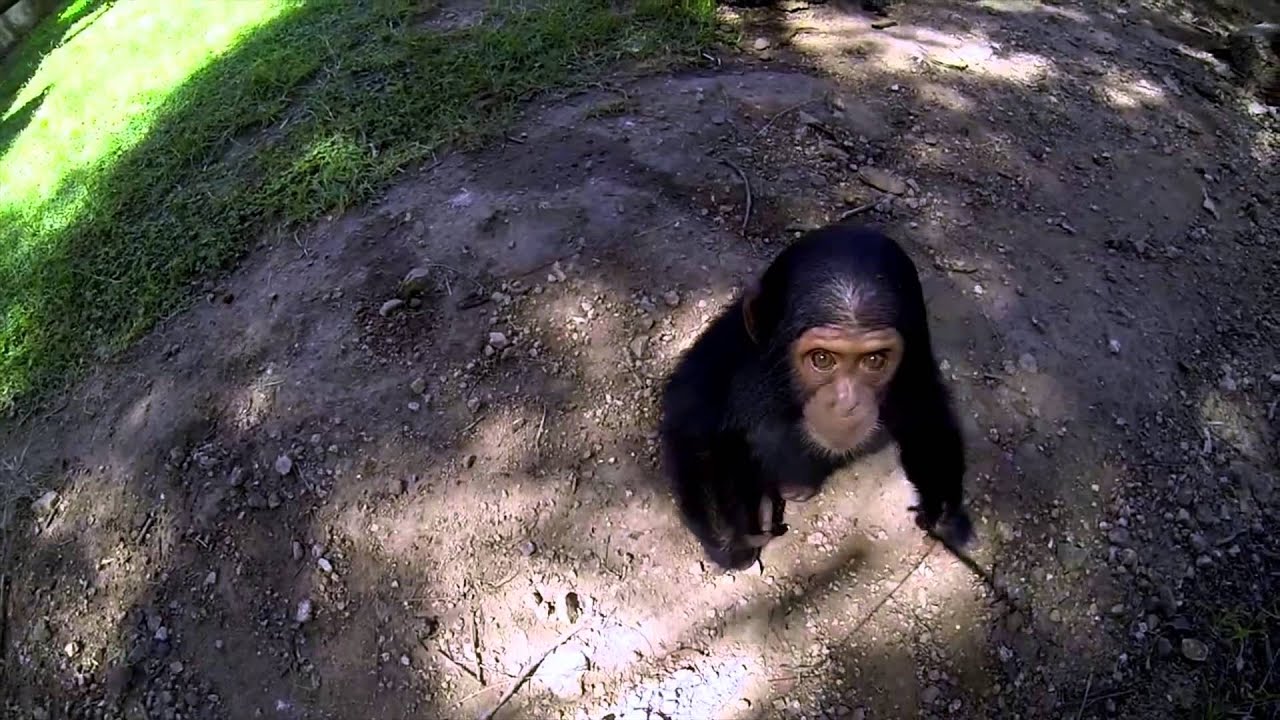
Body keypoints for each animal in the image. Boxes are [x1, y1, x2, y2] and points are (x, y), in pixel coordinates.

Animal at [658, 222, 972, 570]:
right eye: (822, 359)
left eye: (874, 360)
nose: (847, 403)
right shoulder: (727, 352)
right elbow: (695, 427)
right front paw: (734, 534)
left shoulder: (914, 360)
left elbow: (927, 413)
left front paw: (941, 508)